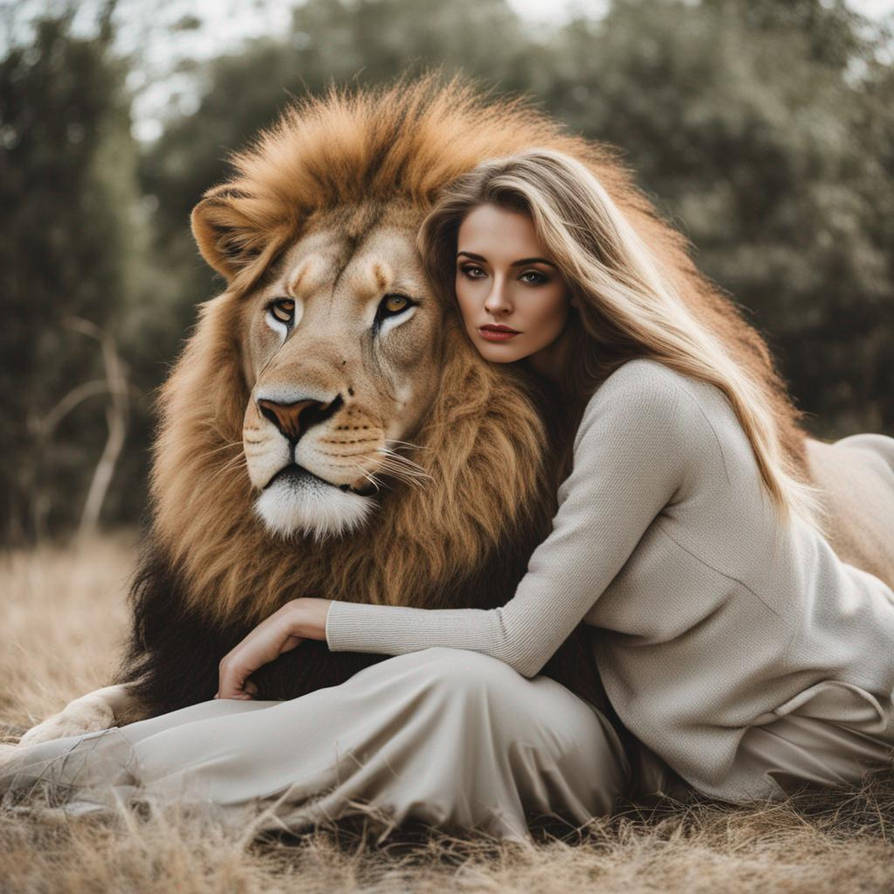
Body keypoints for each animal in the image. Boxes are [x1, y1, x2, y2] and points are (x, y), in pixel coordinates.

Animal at [18, 73, 892, 746]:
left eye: (396, 307)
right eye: (282, 311)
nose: (288, 412)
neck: (334, 555)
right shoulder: (191, 653)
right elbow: (86, 711)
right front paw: (41, 742)